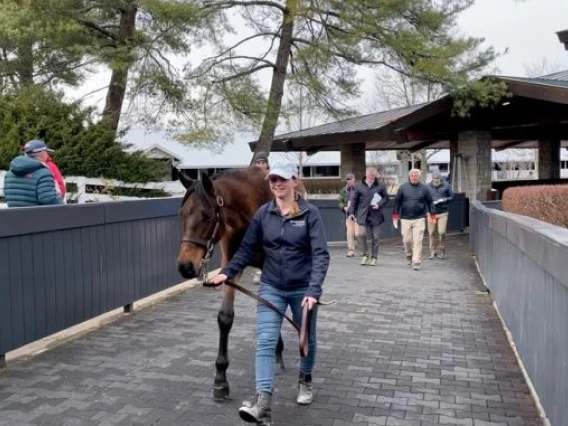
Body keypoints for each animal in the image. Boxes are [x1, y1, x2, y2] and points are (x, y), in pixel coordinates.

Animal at [178, 166, 284, 400]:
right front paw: (220, 378)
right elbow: (225, 317)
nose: (185, 266)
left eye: (207, 215)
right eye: (181, 215)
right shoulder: (230, 267)